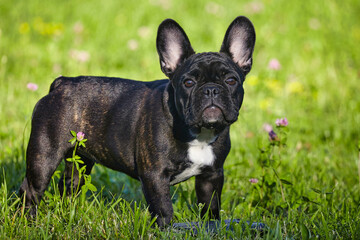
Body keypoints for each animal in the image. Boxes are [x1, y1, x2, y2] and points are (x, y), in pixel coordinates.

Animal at [20, 15, 256, 226]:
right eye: (188, 82)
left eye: (231, 80)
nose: (211, 90)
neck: (199, 134)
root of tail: (62, 83)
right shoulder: (155, 176)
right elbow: (163, 209)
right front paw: (167, 230)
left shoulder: (212, 175)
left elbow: (210, 207)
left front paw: (211, 228)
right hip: (44, 156)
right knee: (31, 189)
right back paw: (28, 222)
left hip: (81, 159)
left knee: (70, 185)